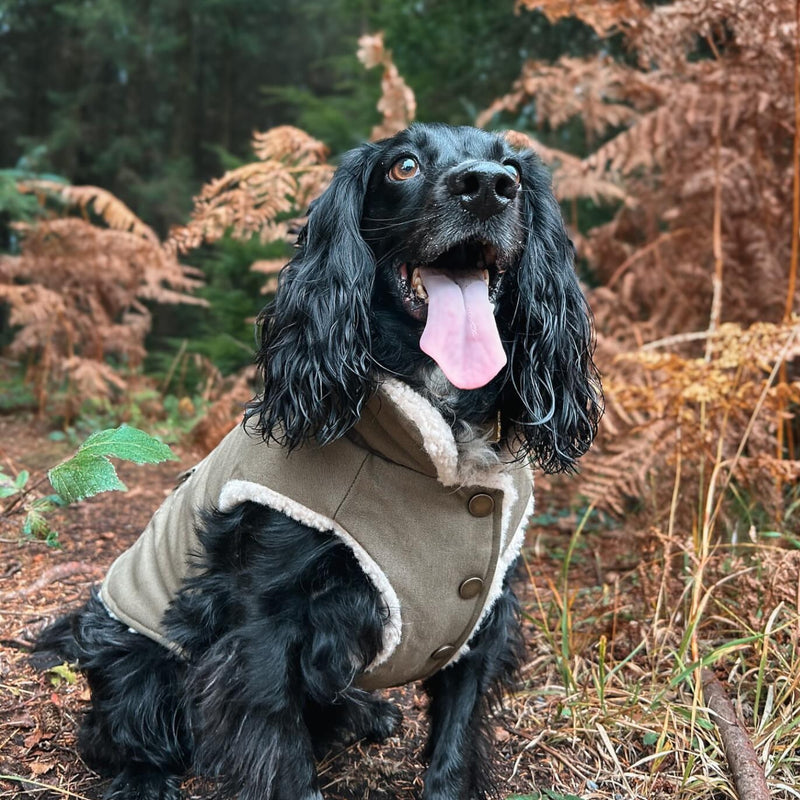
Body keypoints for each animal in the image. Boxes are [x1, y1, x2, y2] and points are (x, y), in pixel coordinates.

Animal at [37, 125, 600, 800]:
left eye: (511, 166)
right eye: (403, 166)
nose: (489, 185)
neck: (431, 446)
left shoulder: (483, 615)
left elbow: (456, 743)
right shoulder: (264, 622)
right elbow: (279, 745)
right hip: (137, 662)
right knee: (117, 735)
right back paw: (143, 780)